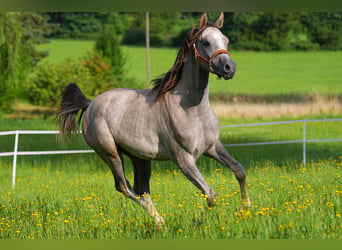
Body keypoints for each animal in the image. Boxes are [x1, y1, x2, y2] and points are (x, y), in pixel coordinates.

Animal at [58, 12, 251, 229]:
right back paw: (160, 222)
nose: (229, 68)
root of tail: (91, 104)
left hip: (140, 158)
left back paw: (160, 224)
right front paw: (195, 222)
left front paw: (244, 208)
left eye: (225, 40)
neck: (192, 111)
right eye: (206, 42)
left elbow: (239, 170)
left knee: (142, 190)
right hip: (110, 154)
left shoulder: (212, 147)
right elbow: (210, 195)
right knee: (125, 187)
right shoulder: (183, 159)